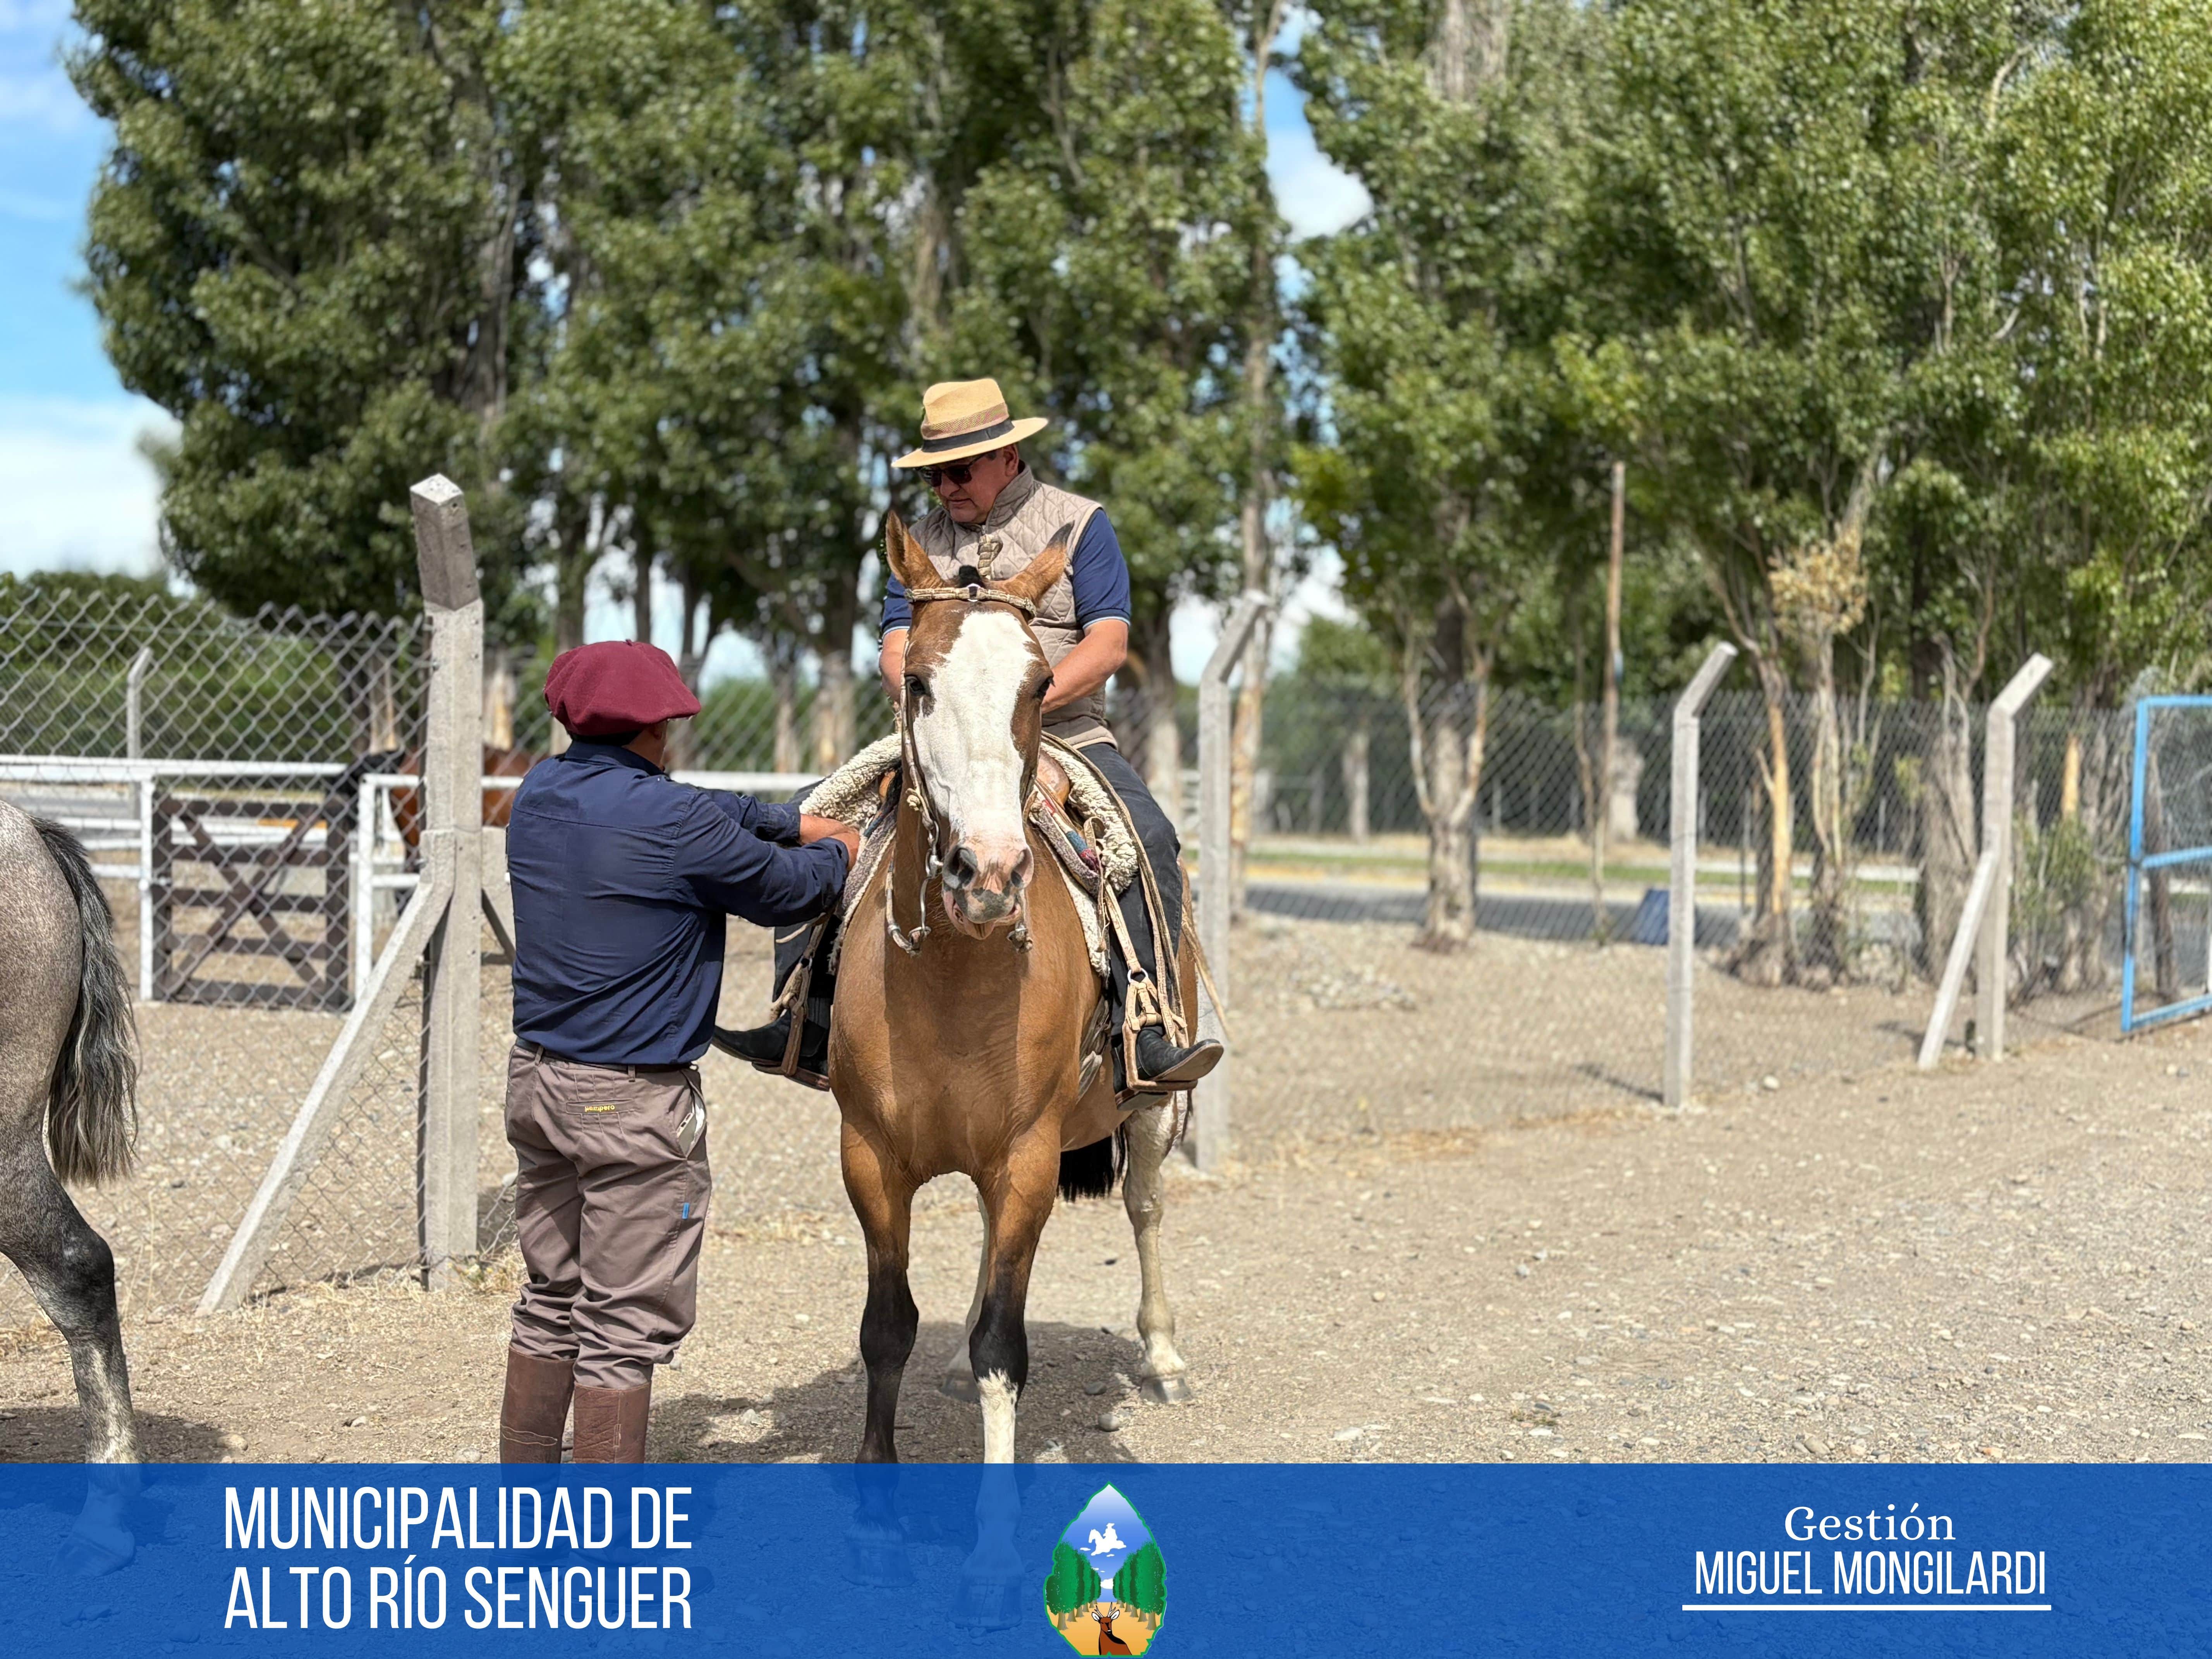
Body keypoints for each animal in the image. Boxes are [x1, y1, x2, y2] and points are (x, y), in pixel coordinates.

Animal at [831, 513, 1194, 1460]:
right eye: (917, 681)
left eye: (1038, 687)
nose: (988, 872)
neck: (954, 979)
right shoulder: (870, 1159)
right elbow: (886, 1326)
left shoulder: (1029, 1156)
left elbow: (1005, 1345)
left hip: (1151, 1106)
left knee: (1145, 1206)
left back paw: (1165, 1356)